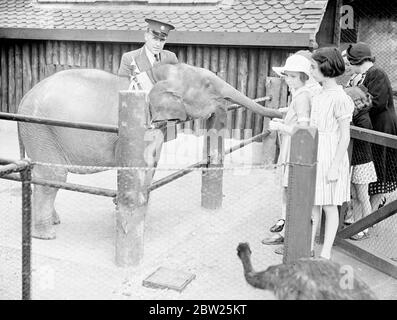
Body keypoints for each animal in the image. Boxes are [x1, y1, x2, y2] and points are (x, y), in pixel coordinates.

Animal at [17, 62, 280, 239]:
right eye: (207, 84)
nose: (280, 113)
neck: (156, 76)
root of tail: (23, 98)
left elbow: (151, 166)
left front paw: (138, 215)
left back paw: (54, 221)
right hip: (42, 129)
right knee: (53, 176)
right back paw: (46, 234)